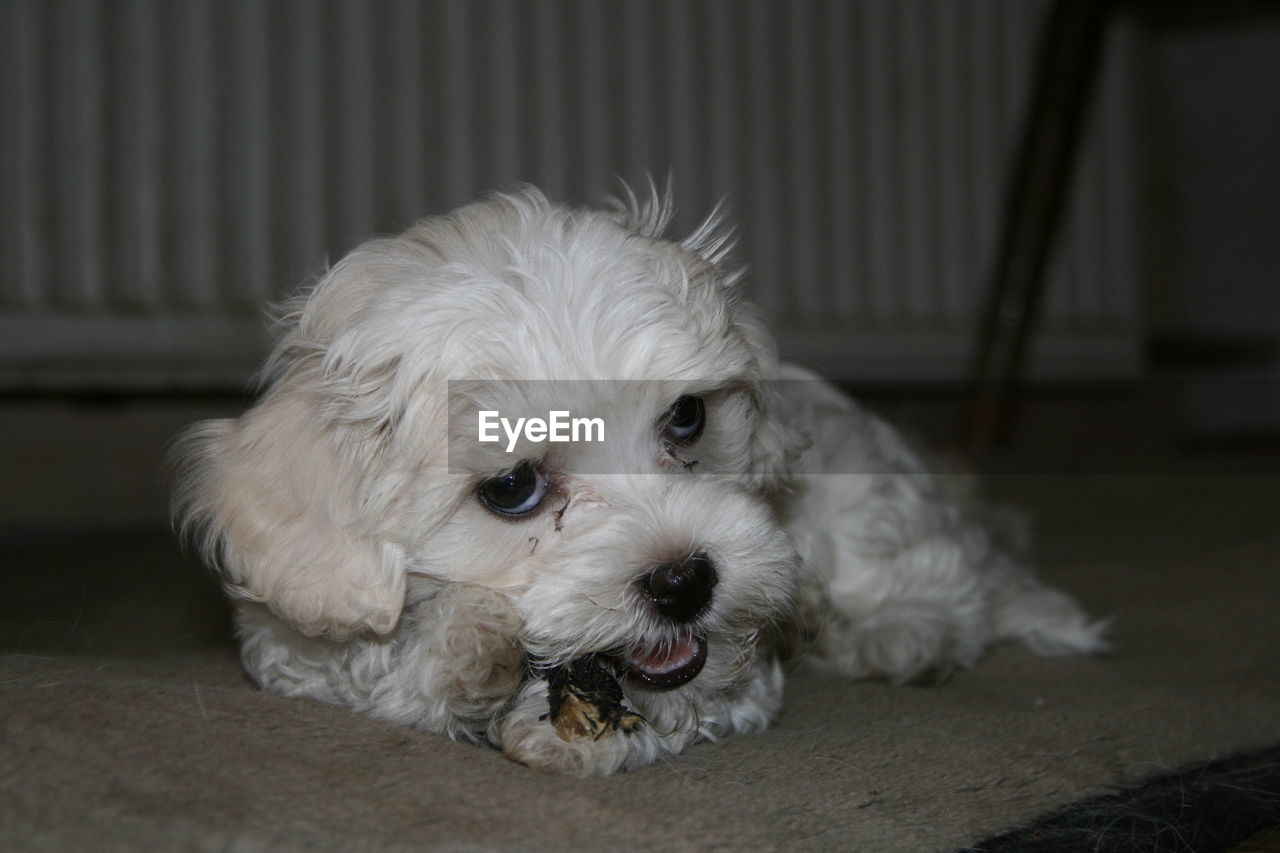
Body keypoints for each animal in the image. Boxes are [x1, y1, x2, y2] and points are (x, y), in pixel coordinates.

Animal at [172, 189, 1111, 773]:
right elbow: (379, 672)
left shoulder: (732, 669)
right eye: (511, 488)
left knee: (954, 583)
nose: (685, 580)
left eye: (686, 417)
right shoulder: (294, 637)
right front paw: (465, 646)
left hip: (864, 499)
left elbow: (701, 689)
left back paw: (898, 633)